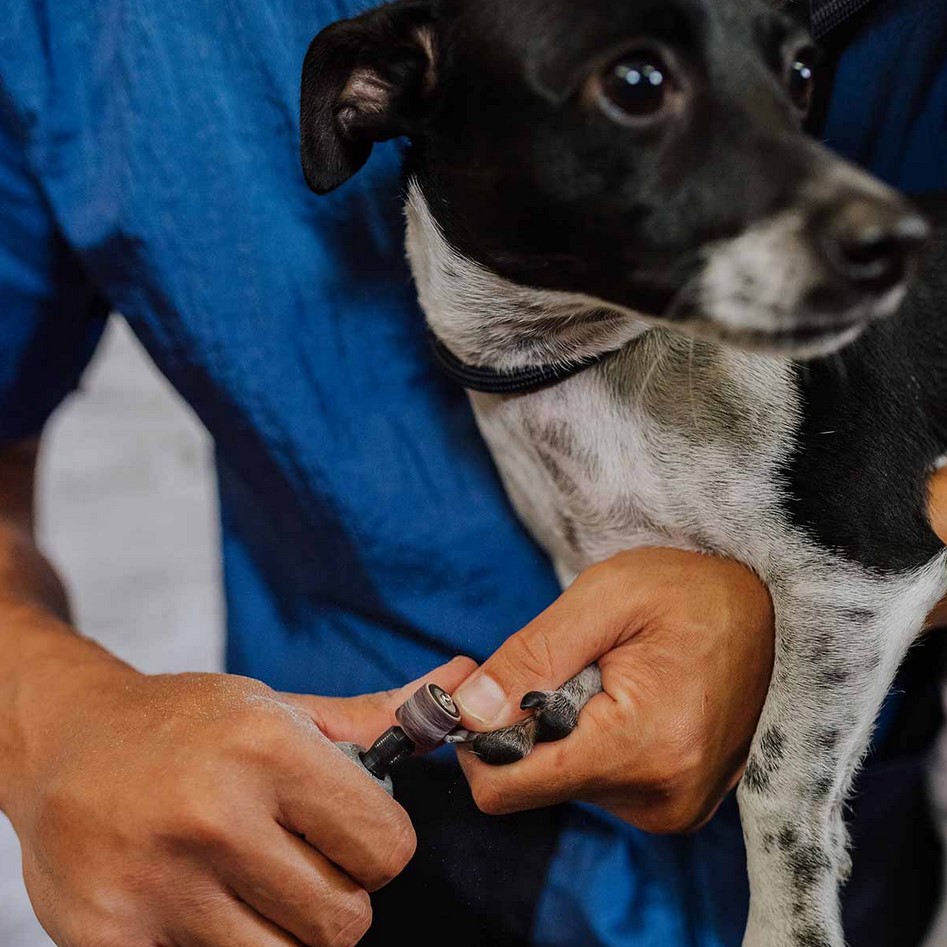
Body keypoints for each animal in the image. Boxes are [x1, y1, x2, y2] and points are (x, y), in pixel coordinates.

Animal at [300, 3, 947, 944]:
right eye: (636, 83)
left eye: (798, 75)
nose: (898, 243)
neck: (589, 365)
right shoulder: (594, 558)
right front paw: (553, 709)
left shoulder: (860, 577)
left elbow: (776, 786)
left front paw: (785, 924)